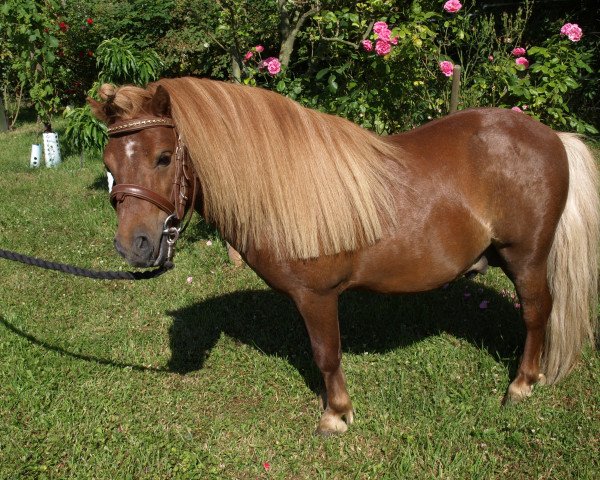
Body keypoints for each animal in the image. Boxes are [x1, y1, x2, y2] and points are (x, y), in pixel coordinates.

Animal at [90, 76, 600, 436]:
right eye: (110, 165)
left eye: (162, 157)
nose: (133, 245)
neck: (283, 185)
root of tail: (553, 137)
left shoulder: (317, 297)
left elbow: (327, 354)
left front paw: (336, 414)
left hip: (525, 257)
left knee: (537, 312)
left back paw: (522, 383)